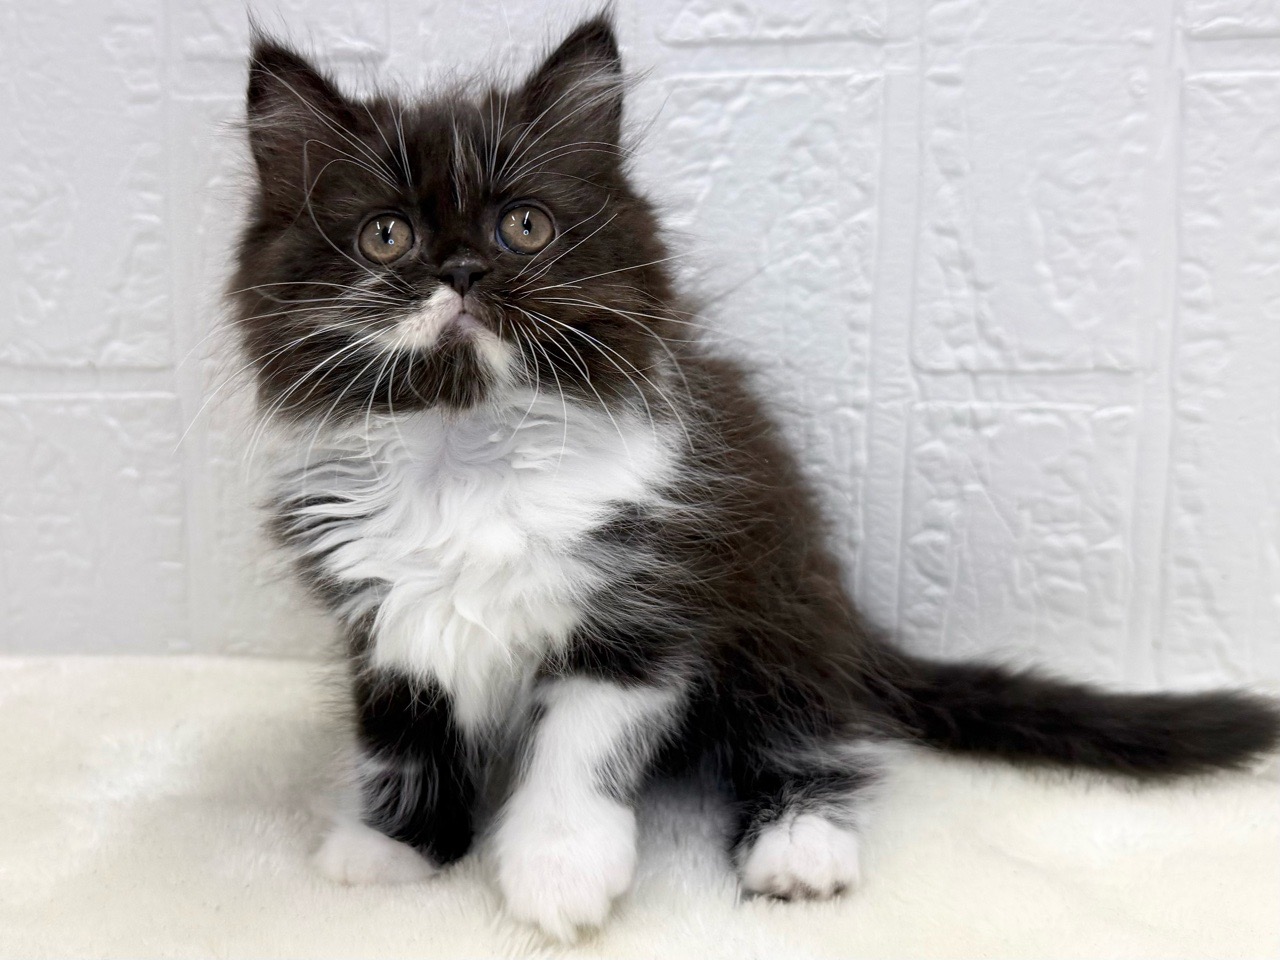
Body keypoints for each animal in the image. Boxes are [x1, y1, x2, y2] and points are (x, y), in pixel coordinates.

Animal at [229, 13, 1280, 942]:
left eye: (524, 225)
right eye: (386, 237)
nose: (461, 270)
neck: (470, 451)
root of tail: (849, 619)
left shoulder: (653, 599)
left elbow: (579, 749)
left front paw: (559, 870)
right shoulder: (379, 610)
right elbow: (399, 734)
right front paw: (394, 847)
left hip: (784, 604)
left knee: (812, 729)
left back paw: (801, 844)